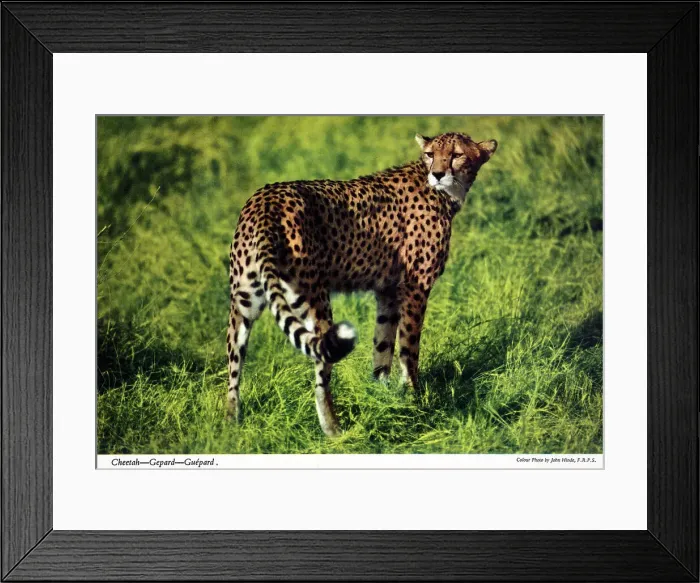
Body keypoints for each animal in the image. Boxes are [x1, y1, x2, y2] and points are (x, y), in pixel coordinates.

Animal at [226, 131, 497, 436]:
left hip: (244, 301)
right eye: (430, 154)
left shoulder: (388, 292)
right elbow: (409, 350)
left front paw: (382, 396)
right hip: (315, 303)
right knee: (320, 373)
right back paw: (334, 430)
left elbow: (383, 346)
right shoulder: (416, 286)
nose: (438, 174)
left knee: (233, 371)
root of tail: (267, 199)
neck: (445, 193)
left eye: (457, 154)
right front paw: (414, 399)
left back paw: (230, 426)